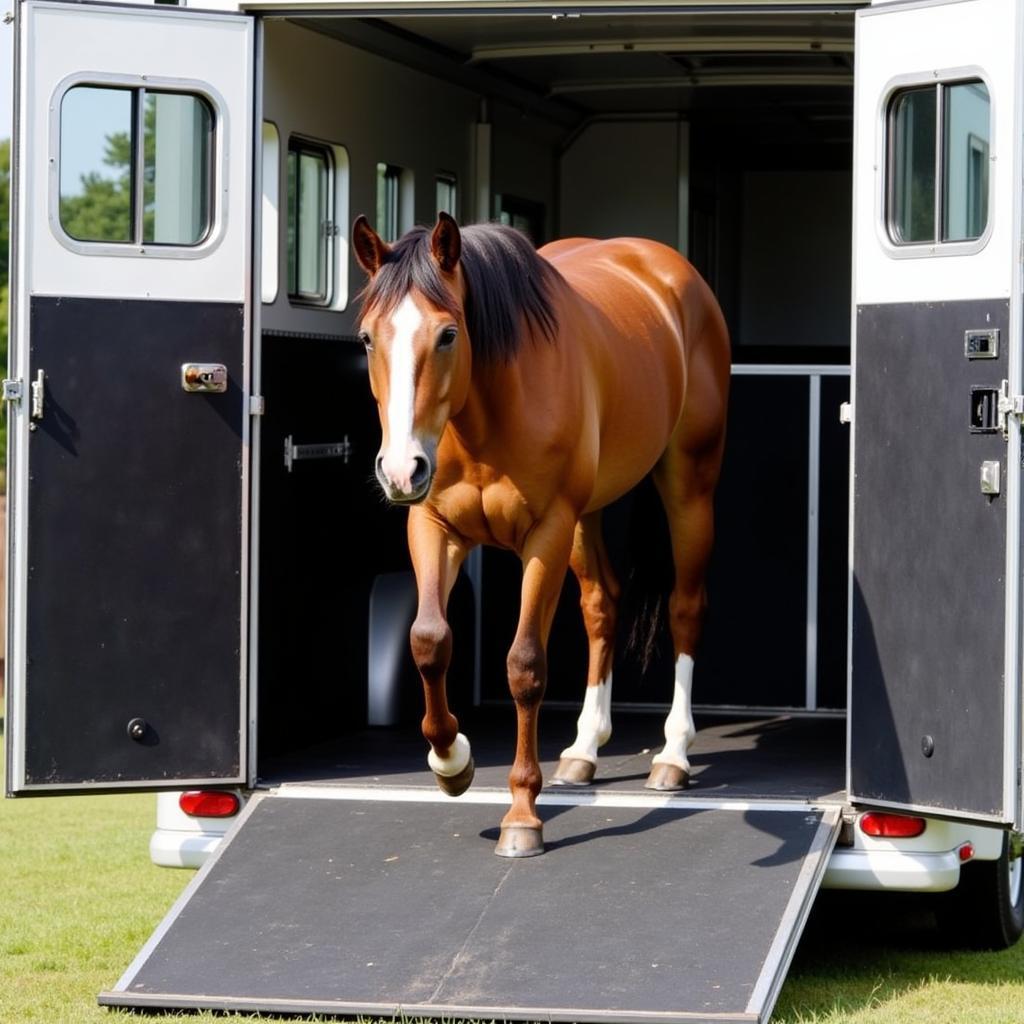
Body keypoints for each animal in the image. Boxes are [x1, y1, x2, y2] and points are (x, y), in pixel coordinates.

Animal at [352, 214, 729, 856]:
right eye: (368, 339)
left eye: (448, 334)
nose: (401, 470)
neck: (488, 412)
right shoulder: (432, 526)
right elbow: (429, 641)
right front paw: (452, 761)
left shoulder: (547, 531)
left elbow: (525, 665)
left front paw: (523, 814)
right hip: (586, 517)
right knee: (602, 604)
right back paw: (583, 748)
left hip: (687, 488)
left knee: (687, 609)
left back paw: (673, 754)